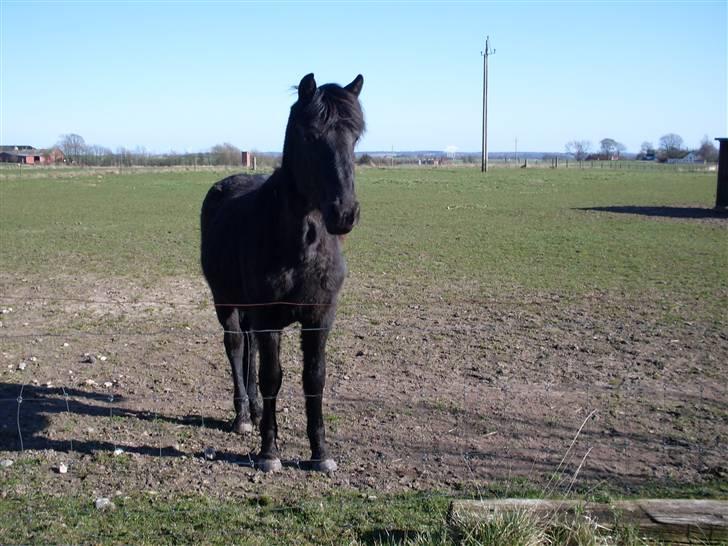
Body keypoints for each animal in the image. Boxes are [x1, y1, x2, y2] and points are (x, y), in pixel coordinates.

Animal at [200, 73, 364, 472]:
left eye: (355, 137)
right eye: (312, 136)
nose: (345, 213)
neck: (300, 244)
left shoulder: (320, 317)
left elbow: (314, 379)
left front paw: (320, 453)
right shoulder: (268, 316)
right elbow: (272, 377)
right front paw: (269, 453)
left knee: (249, 350)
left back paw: (256, 411)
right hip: (225, 301)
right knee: (235, 346)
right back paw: (244, 416)